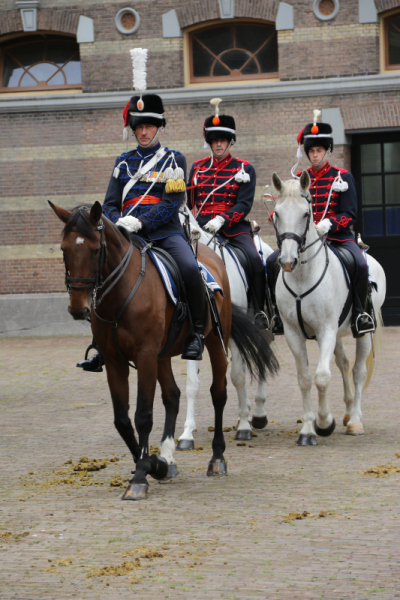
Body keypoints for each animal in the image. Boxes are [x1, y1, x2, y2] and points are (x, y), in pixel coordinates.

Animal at [177, 206, 277, 448]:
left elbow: (238, 377)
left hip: (264, 329)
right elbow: (192, 384)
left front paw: (244, 427)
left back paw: (257, 414)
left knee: (261, 358)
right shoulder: (196, 338)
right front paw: (187, 433)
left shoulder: (232, 334)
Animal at [270, 171, 386, 446]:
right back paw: (347, 412)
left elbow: (322, 377)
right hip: (339, 333)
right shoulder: (293, 333)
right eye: (276, 213)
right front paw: (307, 430)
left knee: (358, 371)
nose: (287, 261)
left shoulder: (325, 331)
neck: (302, 276)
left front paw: (324, 423)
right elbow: (305, 379)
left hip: (363, 331)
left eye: (306, 213)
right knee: (344, 363)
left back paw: (355, 421)